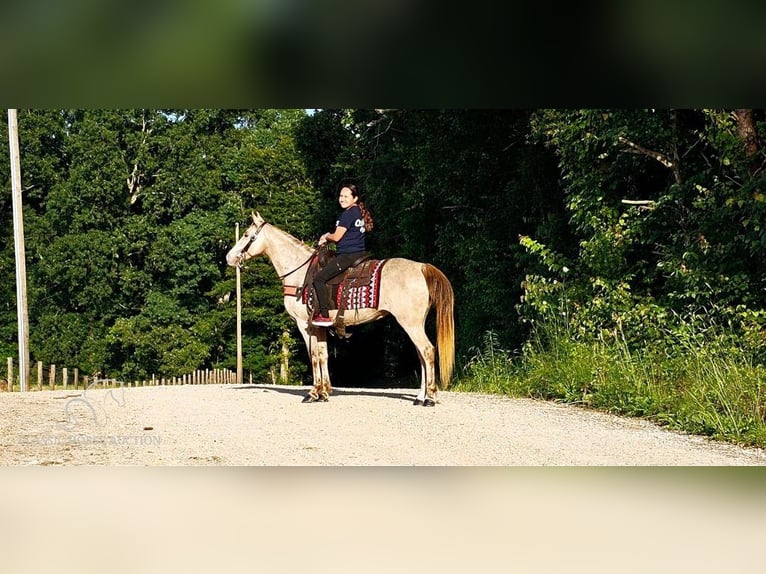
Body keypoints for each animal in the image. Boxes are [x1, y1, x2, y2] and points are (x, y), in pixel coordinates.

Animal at [226, 214, 456, 408]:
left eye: (246, 235)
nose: (229, 257)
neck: (300, 273)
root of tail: (422, 267)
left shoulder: (305, 324)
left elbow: (314, 356)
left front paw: (313, 393)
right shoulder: (318, 326)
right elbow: (323, 355)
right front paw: (324, 392)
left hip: (410, 324)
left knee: (427, 351)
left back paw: (430, 398)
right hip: (414, 323)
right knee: (421, 355)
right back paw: (420, 397)